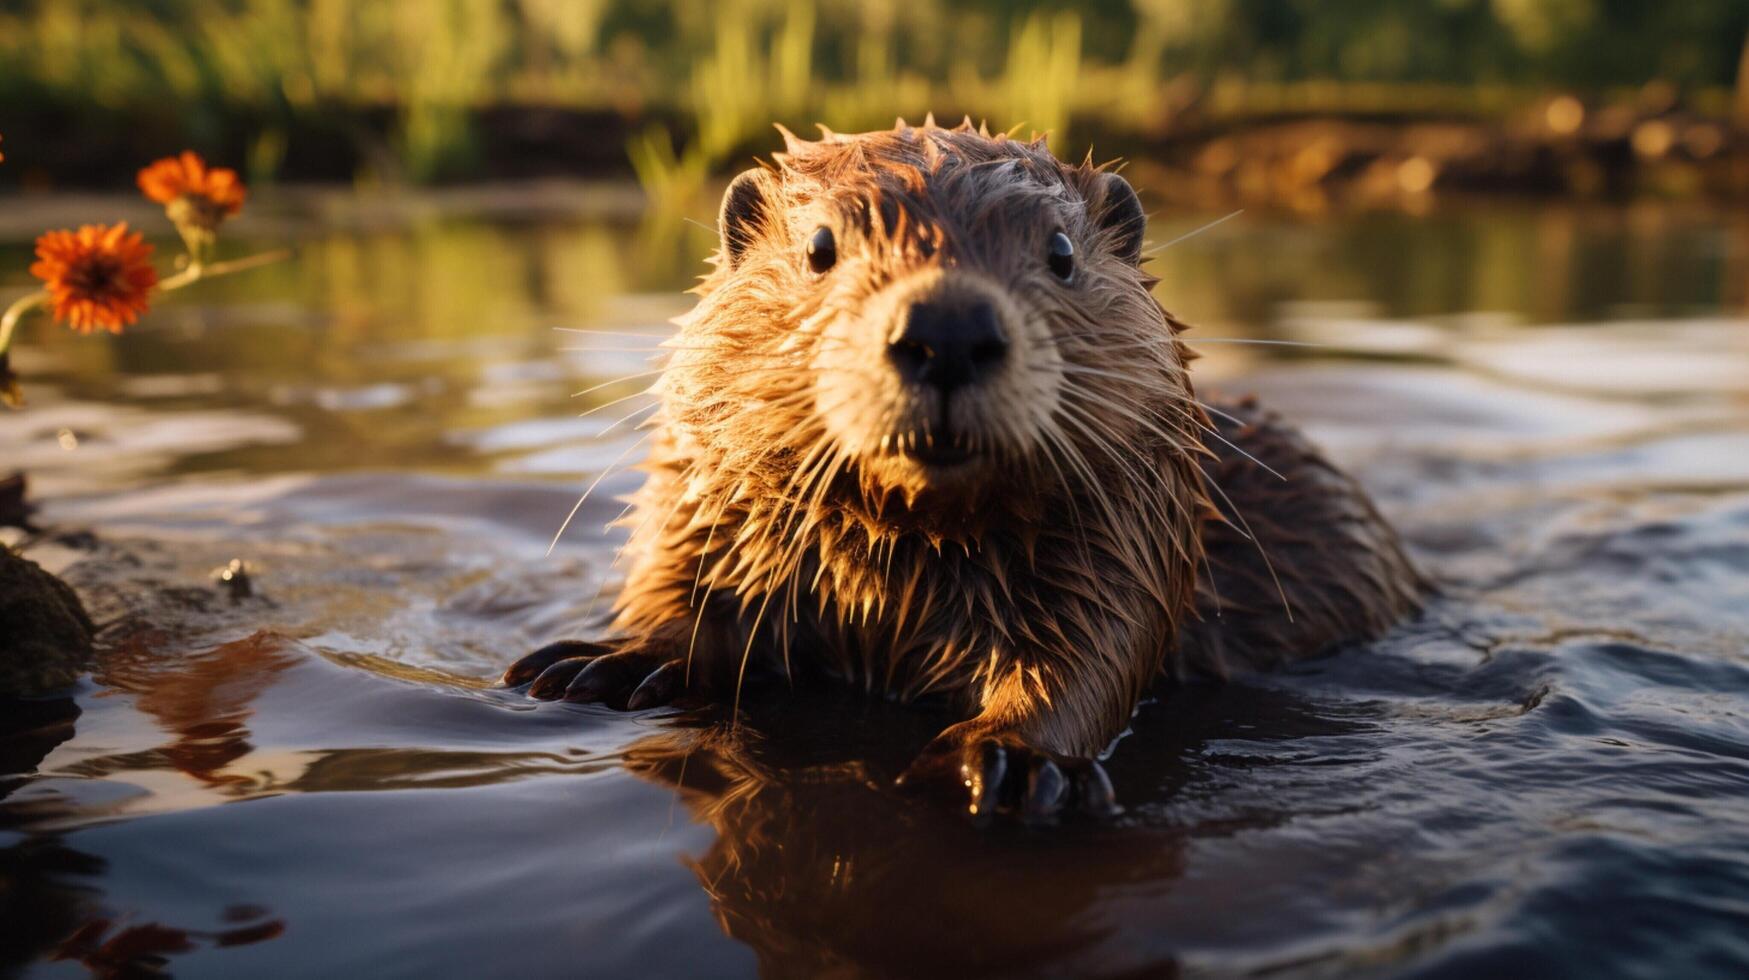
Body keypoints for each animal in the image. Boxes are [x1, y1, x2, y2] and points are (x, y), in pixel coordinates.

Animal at [503, 119, 1420, 819]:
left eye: (1060, 251)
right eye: (820, 246)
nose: (946, 329)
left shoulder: (1134, 520)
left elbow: (1095, 651)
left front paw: (1010, 764)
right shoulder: (707, 487)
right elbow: (686, 577)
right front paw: (591, 662)